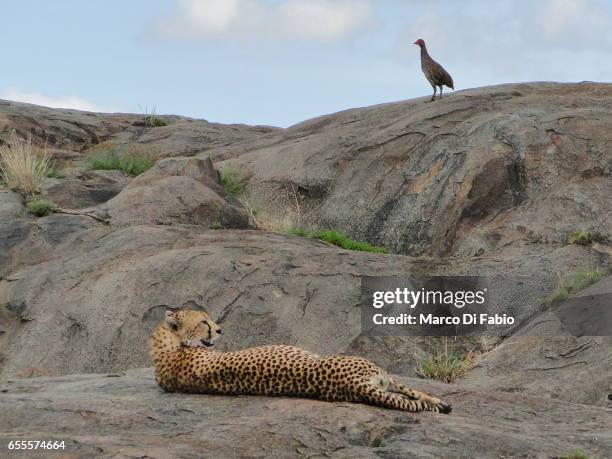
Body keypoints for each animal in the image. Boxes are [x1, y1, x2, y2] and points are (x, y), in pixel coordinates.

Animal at [151, 308, 452, 416]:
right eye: (204, 322)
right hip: (378, 371)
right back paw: (442, 404)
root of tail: (351, 384)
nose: (220, 330)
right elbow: (414, 392)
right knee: (412, 394)